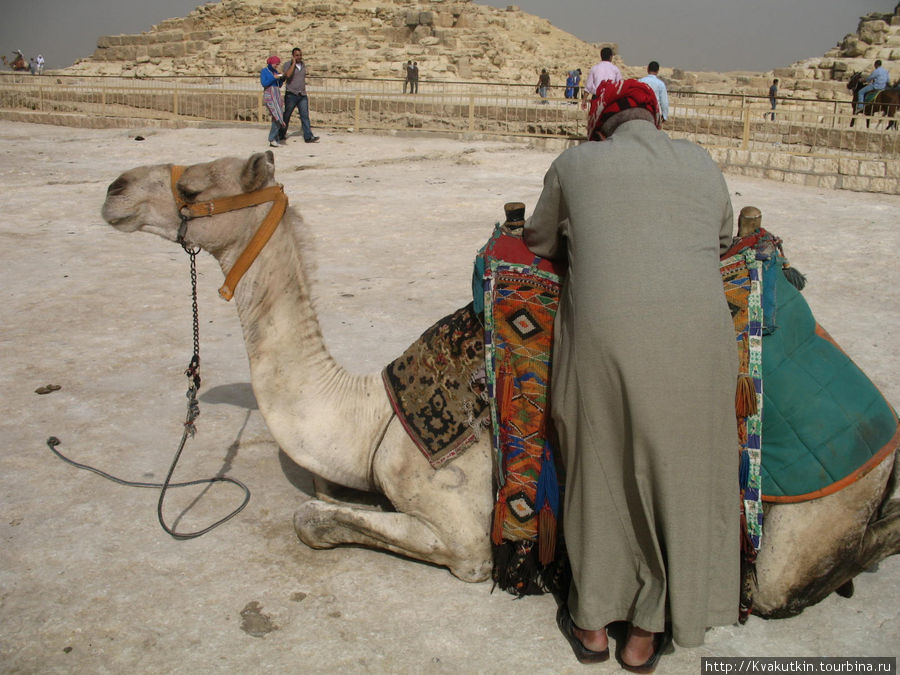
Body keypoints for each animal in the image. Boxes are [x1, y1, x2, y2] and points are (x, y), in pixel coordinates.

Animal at [100, 152, 900, 616]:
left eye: (194, 185)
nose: (112, 188)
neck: (373, 416)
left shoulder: (461, 533)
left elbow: (318, 522)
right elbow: (325, 498)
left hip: (803, 522)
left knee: (784, 582)